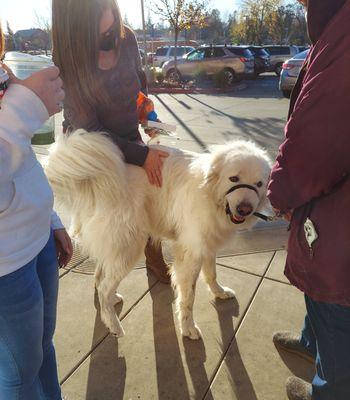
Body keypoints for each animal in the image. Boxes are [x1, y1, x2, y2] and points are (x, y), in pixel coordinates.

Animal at [45, 130, 272, 340]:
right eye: (234, 178)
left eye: (259, 184)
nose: (245, 209)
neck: (209, 193)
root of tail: (95, 180)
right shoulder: (191, 252)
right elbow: (188, 296)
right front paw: (188, 327)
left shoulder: (206, 244)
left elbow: (212, 273)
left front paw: (219, 292)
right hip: (129, 246)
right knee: (103, 287)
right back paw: (114, 325)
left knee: (100, 276)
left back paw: (112, 301)